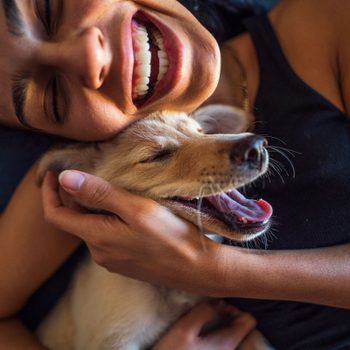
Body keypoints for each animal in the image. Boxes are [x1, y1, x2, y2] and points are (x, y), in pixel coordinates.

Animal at [37, 104, 274, 350]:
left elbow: (257, 340)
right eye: (156, 156)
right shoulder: (114, 340)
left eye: (201, 132)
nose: (256, 146)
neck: (169, 288)